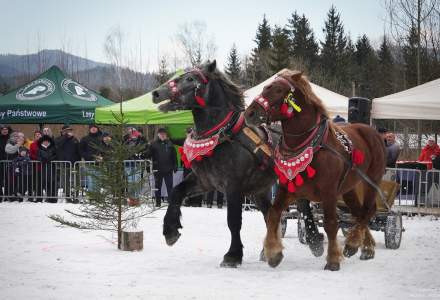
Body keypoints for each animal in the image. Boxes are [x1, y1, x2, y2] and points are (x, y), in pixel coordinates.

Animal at [153, 61, 322, 268]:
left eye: (191, 78)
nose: (156, 93)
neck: (222, 136)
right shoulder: (204, 181)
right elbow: (176, 192)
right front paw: (170, 230)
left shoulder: (233, 186)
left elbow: (233, 220)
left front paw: (232, 255)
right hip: (259, 191)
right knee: (270, 215)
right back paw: (269, 252)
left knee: (304, 208)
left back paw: (315, 242)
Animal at [246, 70, 386, 272]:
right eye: (265, 87)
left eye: (278, 90)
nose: (249, 113)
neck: (309, 143)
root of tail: (371, 131)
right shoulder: (287, 189)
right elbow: (273, 214)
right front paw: (274, 253)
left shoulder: (329, 193)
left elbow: (330, 224)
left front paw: (333, 260)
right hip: (349, 188)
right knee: (359, 213)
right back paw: (365, 247)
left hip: (371, 181)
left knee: (368, 210)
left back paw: (353, 243)